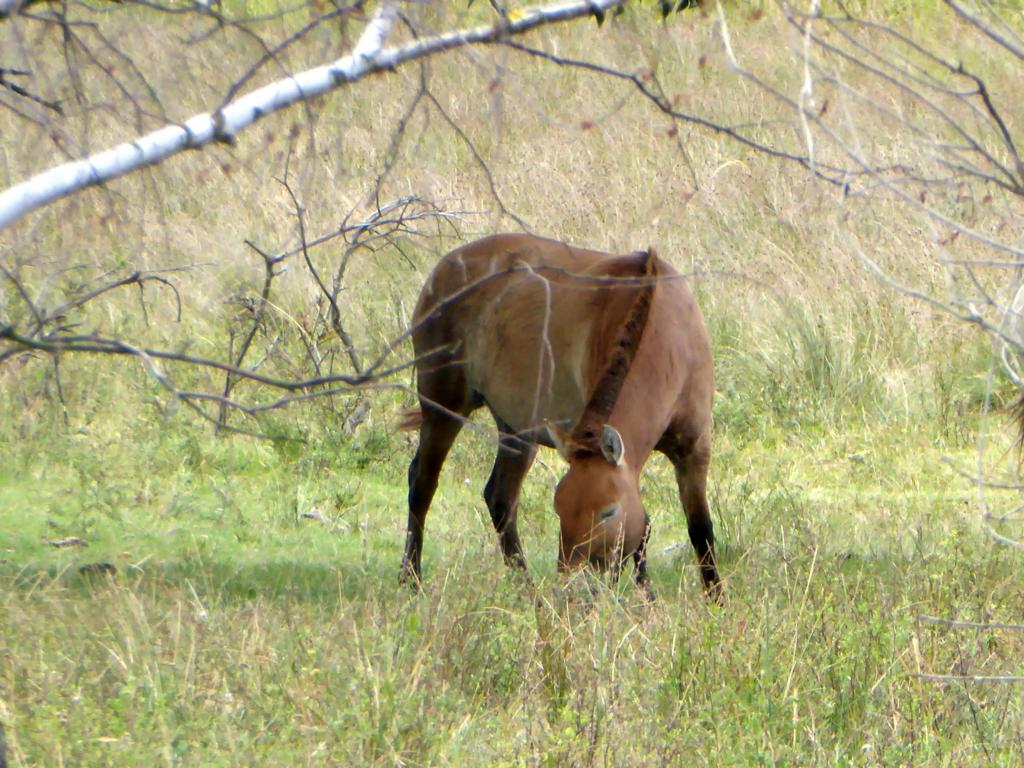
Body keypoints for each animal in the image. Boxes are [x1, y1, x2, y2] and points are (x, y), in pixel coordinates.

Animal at [399, 234, 720, 602]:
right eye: (559, 508)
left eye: (607, 512)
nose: (572, 582)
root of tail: (443, 268)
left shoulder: (694, 448)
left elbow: (698, 528)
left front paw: (714, 600)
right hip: (443, 407)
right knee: (422, 483)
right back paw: (410, 580)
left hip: (515, 430)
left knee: (500, 498)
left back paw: (526, 590)